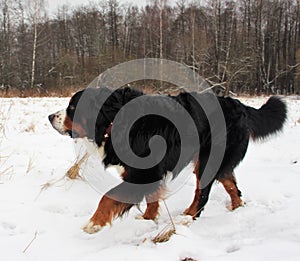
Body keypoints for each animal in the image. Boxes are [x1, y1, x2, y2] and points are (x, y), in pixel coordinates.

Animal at [48, 86, 286, 233]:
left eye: (72, 108)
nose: (50, 116)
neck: (114, 121)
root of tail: (240, 106)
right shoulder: (147, 173)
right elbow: (152, 198)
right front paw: (147, 219)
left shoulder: (143, 173)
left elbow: (108, 197)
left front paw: (94, 224)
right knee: (232, 186)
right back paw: (236, 209)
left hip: (207, 160)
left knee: (203, 193)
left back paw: (188, 216)